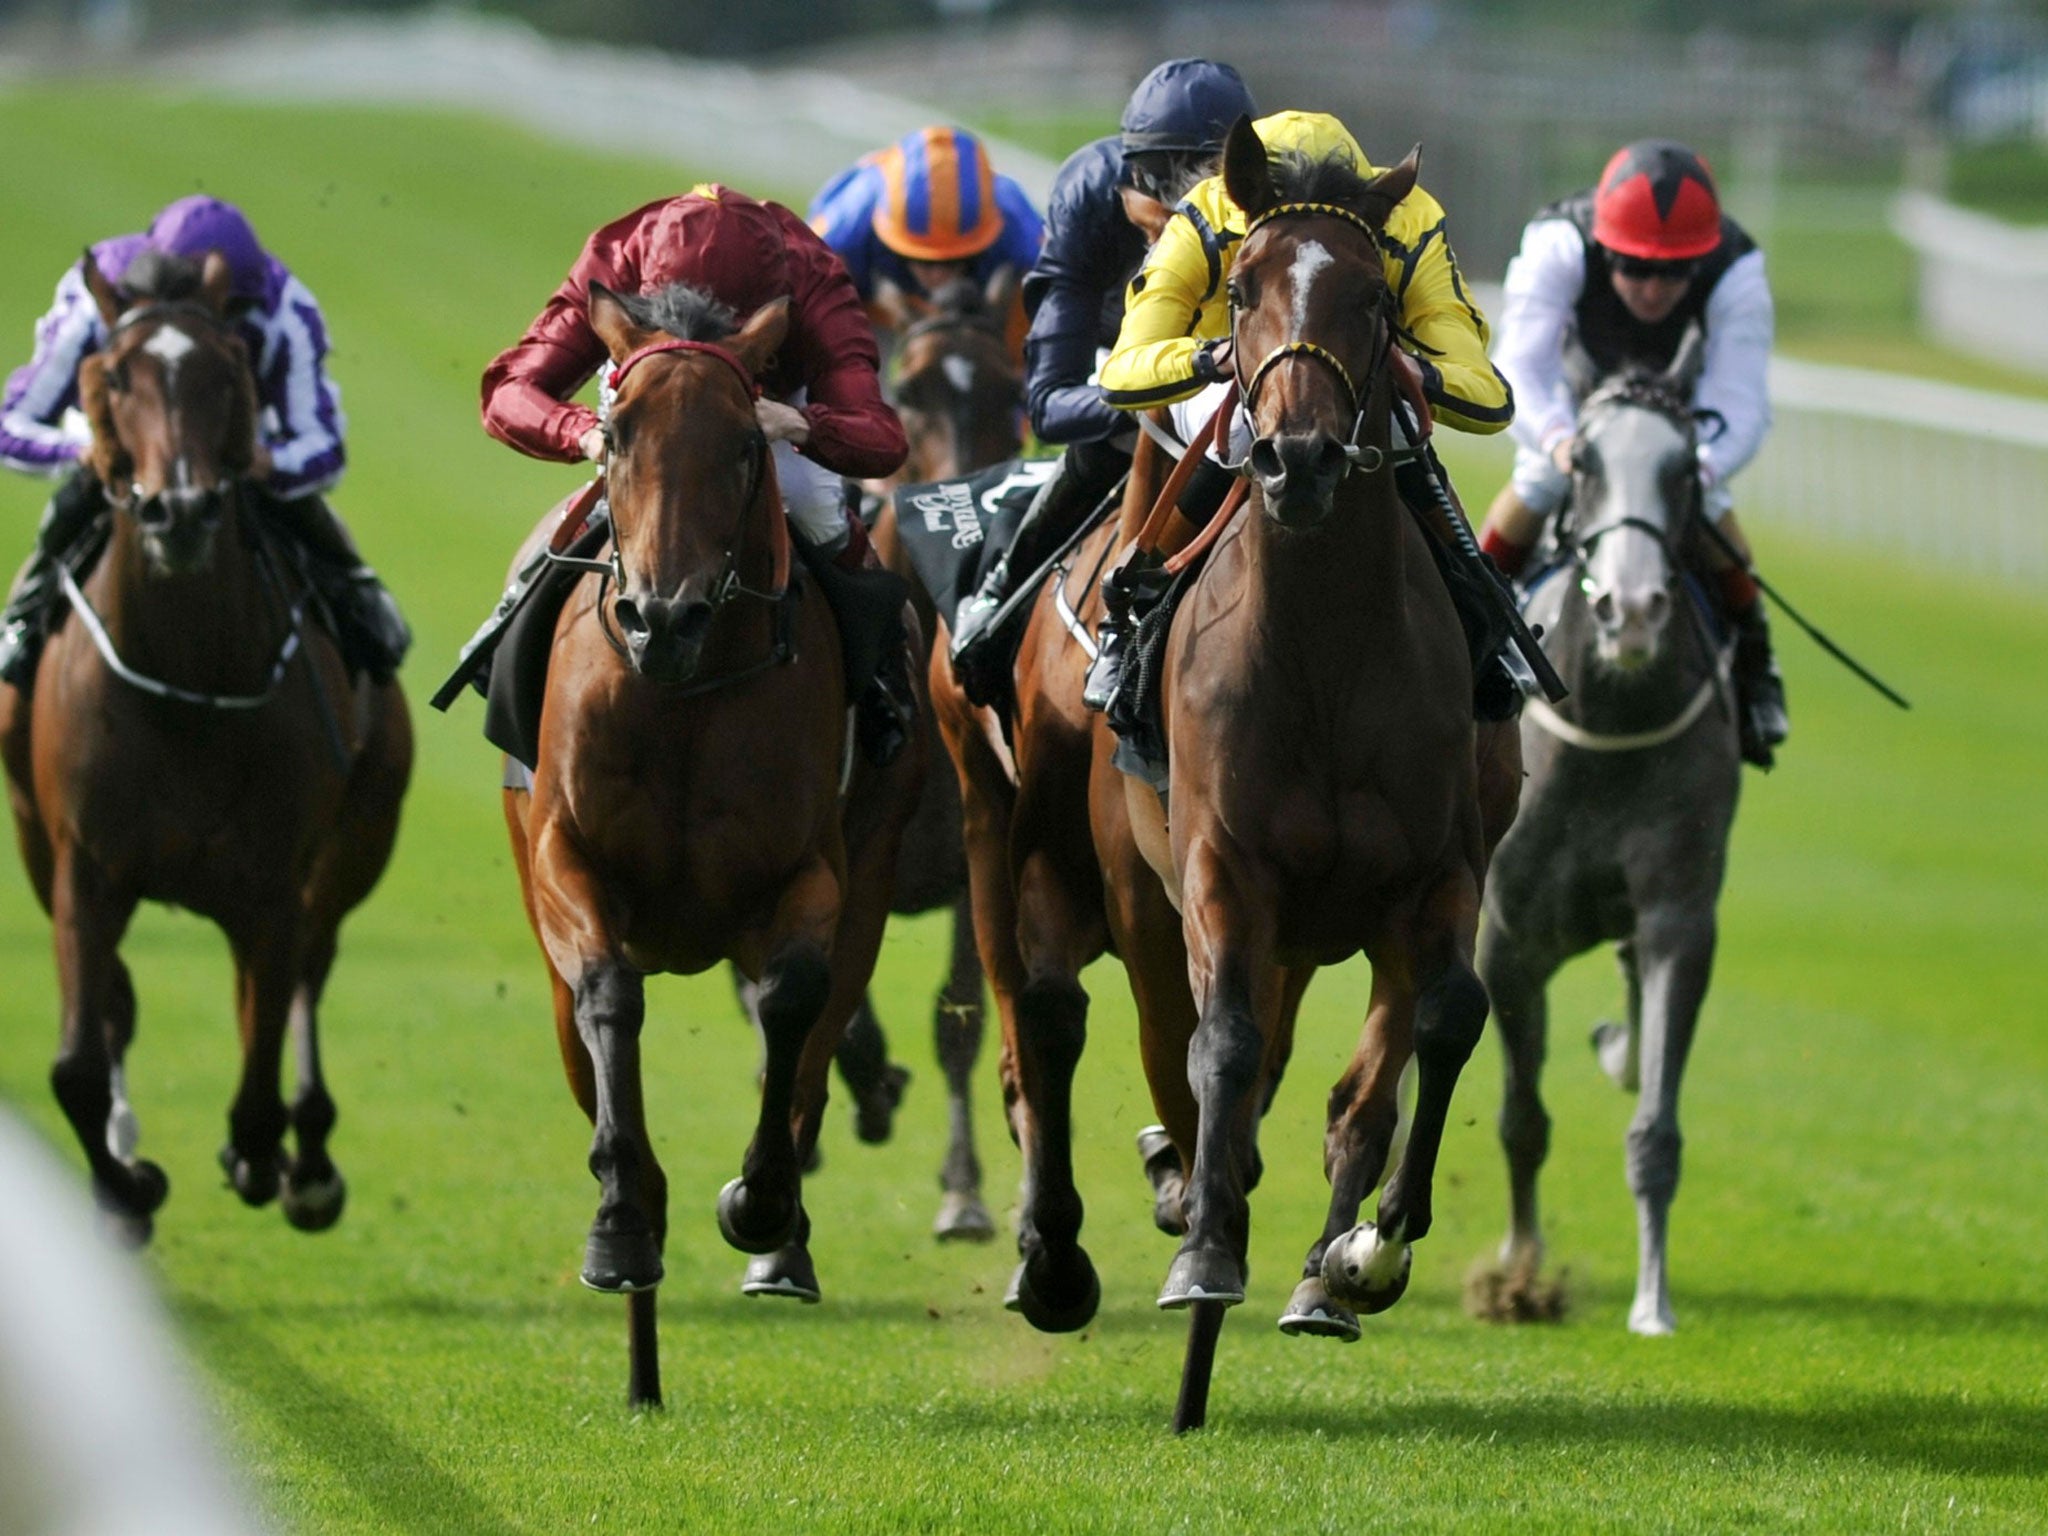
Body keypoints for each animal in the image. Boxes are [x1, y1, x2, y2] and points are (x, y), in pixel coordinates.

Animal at [0, 243, 411, 1253]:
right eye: (111, 378)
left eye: (228, 375)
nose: (177, 512)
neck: (186, 682)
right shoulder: (82, 866)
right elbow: (76, 1061)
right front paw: (126, 1187)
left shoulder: (274, 880)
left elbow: (261, 1068)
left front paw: (266, 1158)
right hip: (36, 839)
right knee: (124, 1004)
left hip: (354, 844)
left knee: (302, 980)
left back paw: (306, 1162)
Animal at [507, 280, 925, 1409]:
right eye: (614, 434)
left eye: (744, 445)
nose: (663, 617)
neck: (683, 699)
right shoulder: (566, 861)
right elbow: (611, 999)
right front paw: (621, 1223)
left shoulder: (813, 877)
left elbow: (791, 1005)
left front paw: (760, 1205)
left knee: (819, 1039)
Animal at [1482, 346, 1736, 1335]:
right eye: (1584, 462)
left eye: (1684, 471)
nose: (1632, 610)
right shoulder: (1508, 936)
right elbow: (1521, 1120)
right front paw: (1519, 1273)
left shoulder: (1678, 917)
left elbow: (1655, 1128)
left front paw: (1653, 1300)